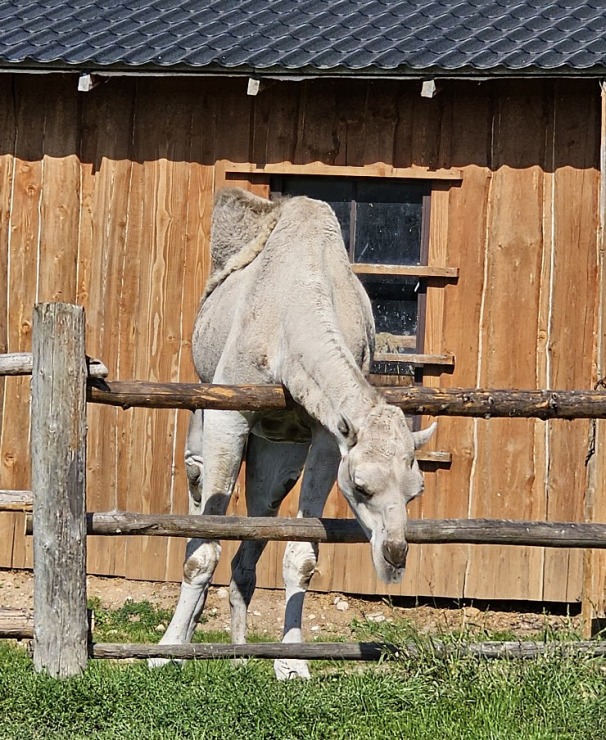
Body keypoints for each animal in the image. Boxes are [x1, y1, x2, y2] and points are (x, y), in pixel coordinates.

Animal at [152, 188, 436, 680]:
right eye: (361, 487)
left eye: (415, 491)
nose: (395, 555)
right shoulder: (229, 412)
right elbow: (203, 549)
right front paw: (165, 650)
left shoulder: (327, 433)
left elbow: (301, 555)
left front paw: (292, 663)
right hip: (202, 409)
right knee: (196, 493)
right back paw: (183, 636)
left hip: (276, 453)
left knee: (257, 525)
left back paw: (239, 653)